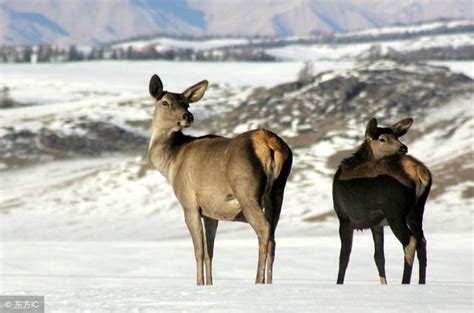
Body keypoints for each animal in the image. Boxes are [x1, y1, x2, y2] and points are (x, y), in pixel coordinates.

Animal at [146, 74, 292, 284]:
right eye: (165, 102)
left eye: (186, 104)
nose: (187, 116)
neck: (171, 164)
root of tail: (268, 142)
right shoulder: (210, 212)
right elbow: (210, 253)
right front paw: (210, 284)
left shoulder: (189, 203)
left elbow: (198, 251)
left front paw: (199, 283)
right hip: (278, 190)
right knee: (273, 236)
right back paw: (269, 282)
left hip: (246, 190)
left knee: (264, 231)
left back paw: (258, 281)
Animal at [334, 116, 430, 282]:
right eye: (382, 139)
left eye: (396, 136)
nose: (403, 148)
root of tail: (419, 171)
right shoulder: (376, 224)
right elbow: (379, 257)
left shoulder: (344, 218)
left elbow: (344, 257)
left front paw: (338, 283)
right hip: (417, 210)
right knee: (422, 241)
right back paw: (421, 282)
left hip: (394, 211)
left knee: (410, 241)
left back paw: (404, 281)